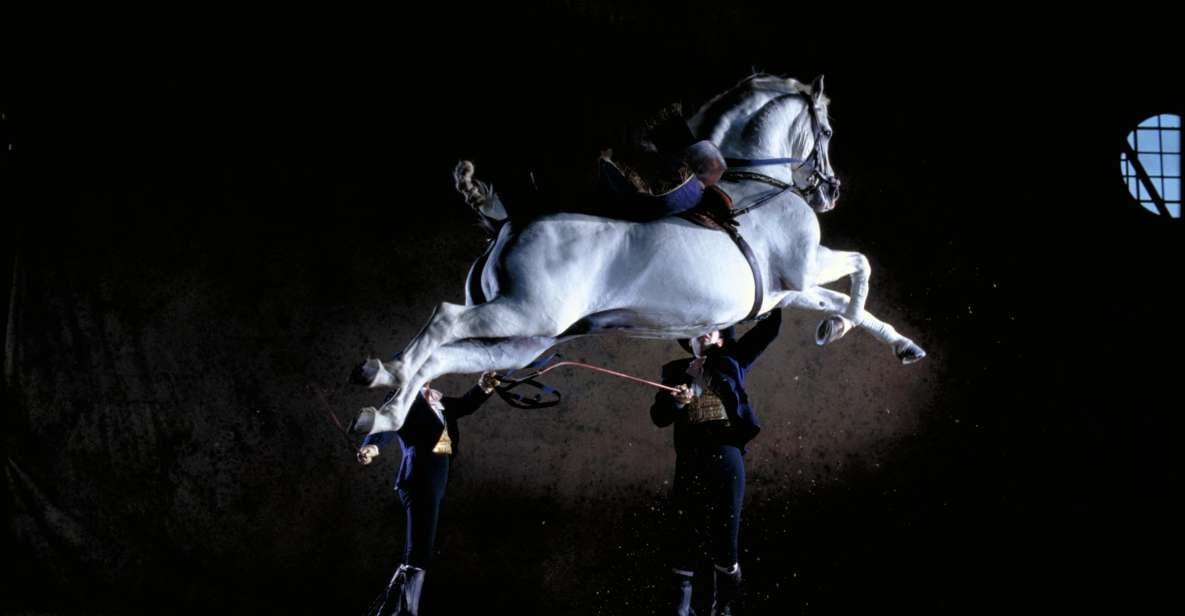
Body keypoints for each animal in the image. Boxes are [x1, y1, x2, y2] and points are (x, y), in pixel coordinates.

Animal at [351, 74, 926, 435]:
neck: (756, 183)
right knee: (443, 321)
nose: (830, 191)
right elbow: (861, 266)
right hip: (523, 313)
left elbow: (844, 299)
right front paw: (838, 328)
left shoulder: (785, 291)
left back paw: (381, 412)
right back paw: (385, 373)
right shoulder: (807, 267)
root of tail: (507, 222)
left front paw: (894, 342)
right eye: (826, 130)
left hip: (522, 342)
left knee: (445, 357)